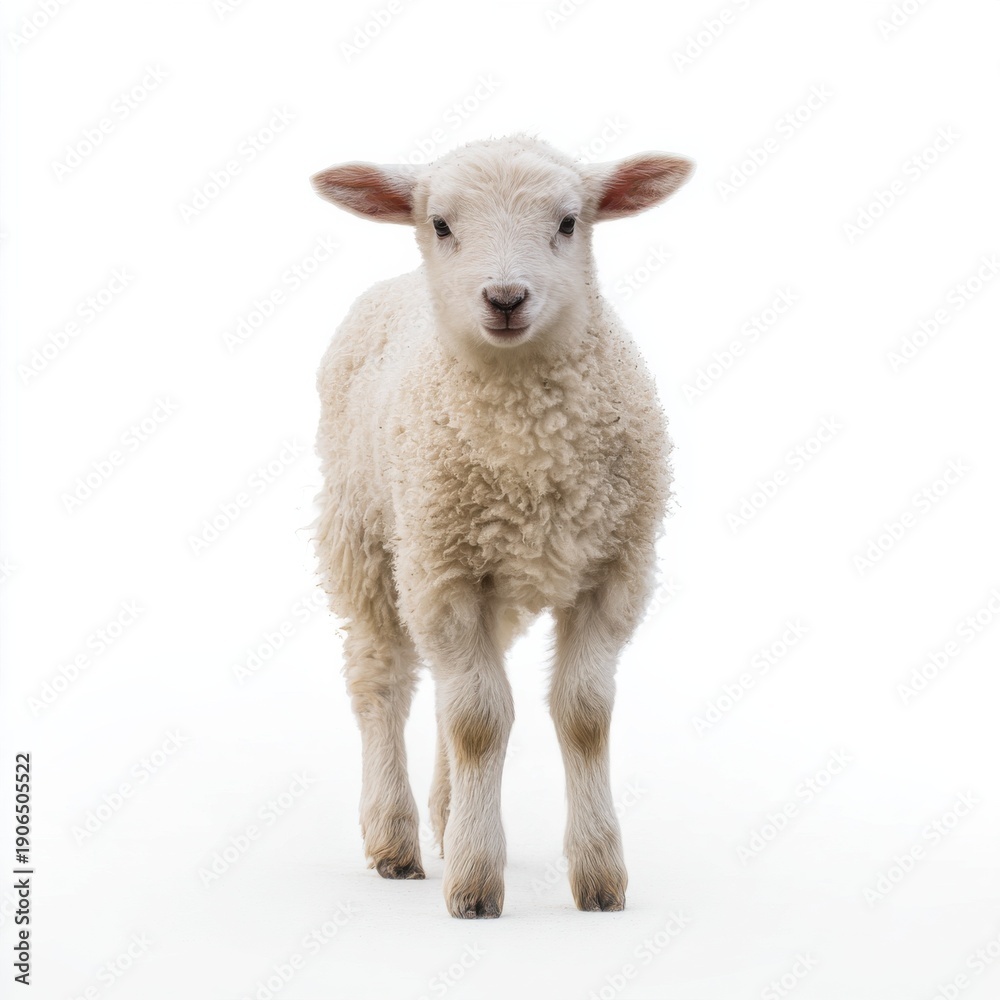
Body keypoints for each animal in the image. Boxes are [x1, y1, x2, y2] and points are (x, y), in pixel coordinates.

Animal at [311, 135, 693, 918]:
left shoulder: (613, 571)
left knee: (444, 691)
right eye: (441, 224)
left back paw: (448, 814)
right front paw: (476, 883)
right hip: (367, 541)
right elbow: (480, 722)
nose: (506, 298)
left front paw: (600, 876)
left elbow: (581, 715)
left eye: (570, 222)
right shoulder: (445, 569)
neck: (531, 439)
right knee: (383, 683)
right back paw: (394, 836)